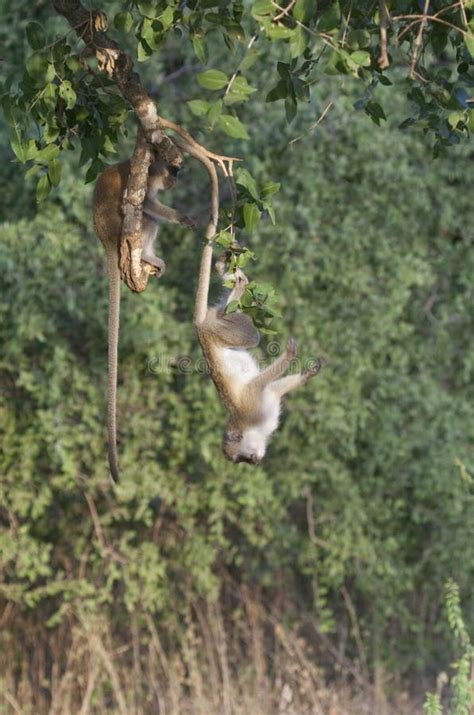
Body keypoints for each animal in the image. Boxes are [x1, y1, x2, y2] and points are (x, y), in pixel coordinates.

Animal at [193, 250, 322, 464]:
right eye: (241, 459)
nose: (254, 460)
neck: (252, 427)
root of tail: (201, 328)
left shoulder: (252, 407)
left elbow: (258, 386)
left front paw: (293, 359)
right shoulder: (259, 405)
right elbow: (271, 388)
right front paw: (304, 373)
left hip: (221, 329)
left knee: (247, 331)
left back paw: (234, 282)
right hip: (219, 329)